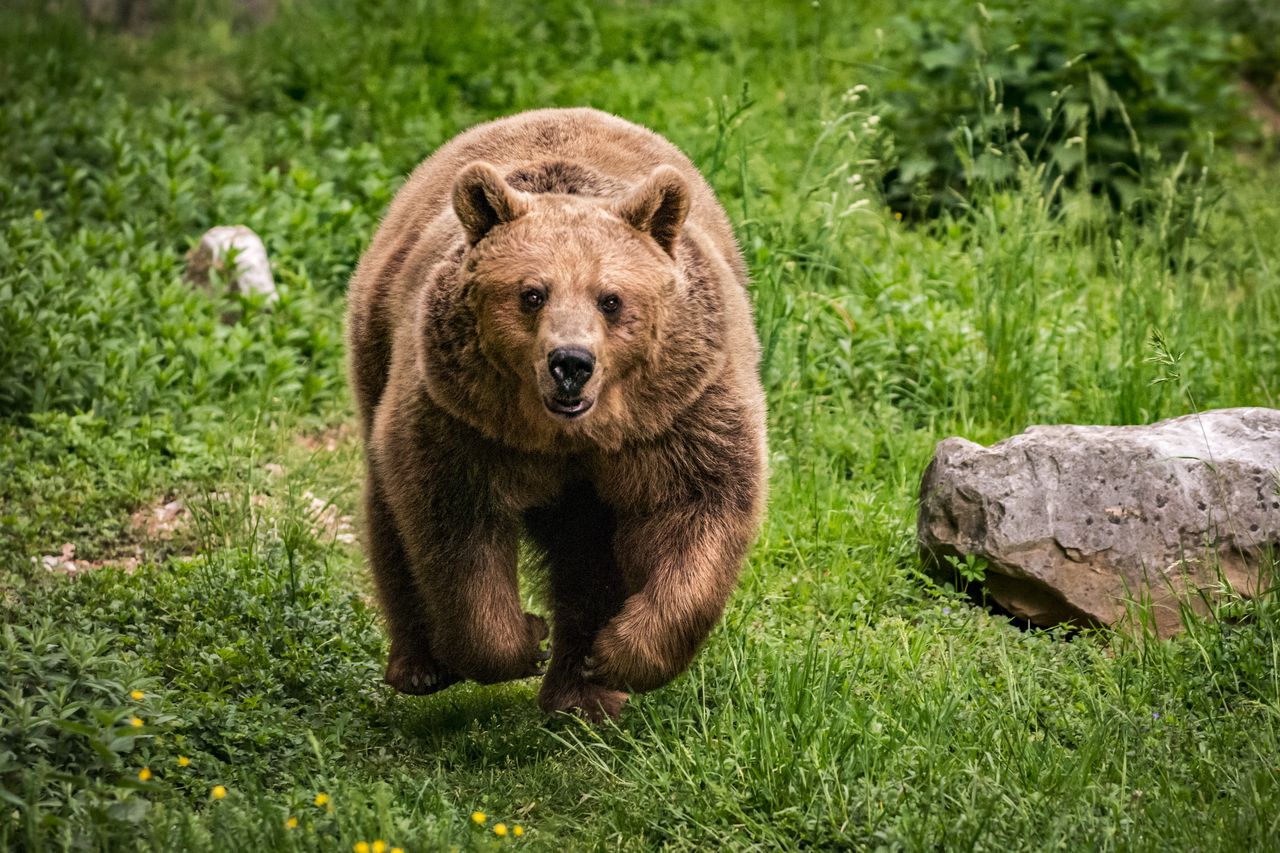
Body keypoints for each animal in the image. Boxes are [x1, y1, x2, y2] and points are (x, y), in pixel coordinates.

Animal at [345, 106, 762, 717]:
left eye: (610, 299)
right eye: (532, 293)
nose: (571, 363)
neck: (569, 436)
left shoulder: (677, 413)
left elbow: (700, 506)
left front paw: (615, 654)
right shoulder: (464, 421)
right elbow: (454, 528)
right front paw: (524, 639)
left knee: (589, 555)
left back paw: (582, 694)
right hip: (380, 348)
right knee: (390, 515)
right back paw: (422, 667)